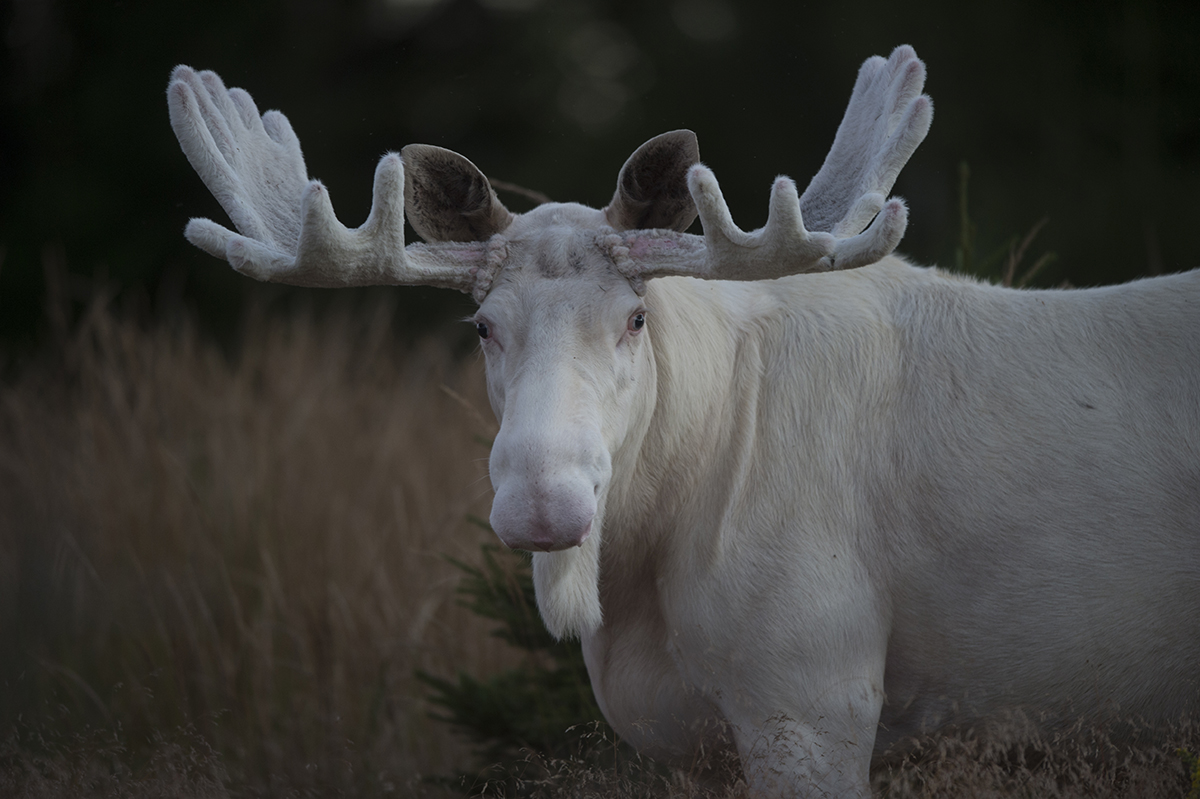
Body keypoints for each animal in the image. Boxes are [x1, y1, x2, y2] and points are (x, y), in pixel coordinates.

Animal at [169, 48, 1200, 796]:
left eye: (636, 317)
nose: (542, 501)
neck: (642, 567)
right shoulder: (693, 744)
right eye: (482, 325)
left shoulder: (814, 701)